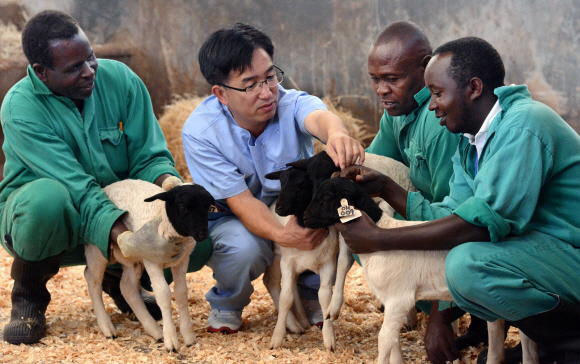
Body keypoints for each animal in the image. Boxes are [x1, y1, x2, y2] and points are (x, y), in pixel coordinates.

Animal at [82, 181, 214, 352]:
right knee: (93, 280)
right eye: (182, 207)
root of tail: (106, 188)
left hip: (131, 257)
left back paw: (154, 330)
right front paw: (171, 340)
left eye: (207, 208)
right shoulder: (152, 260)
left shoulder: (182, 260)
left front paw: (188, 336)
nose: (202, 234)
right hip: (97, 247)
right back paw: (107, 327)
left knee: (127, 287)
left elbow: (181, 293)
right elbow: (163, 293)